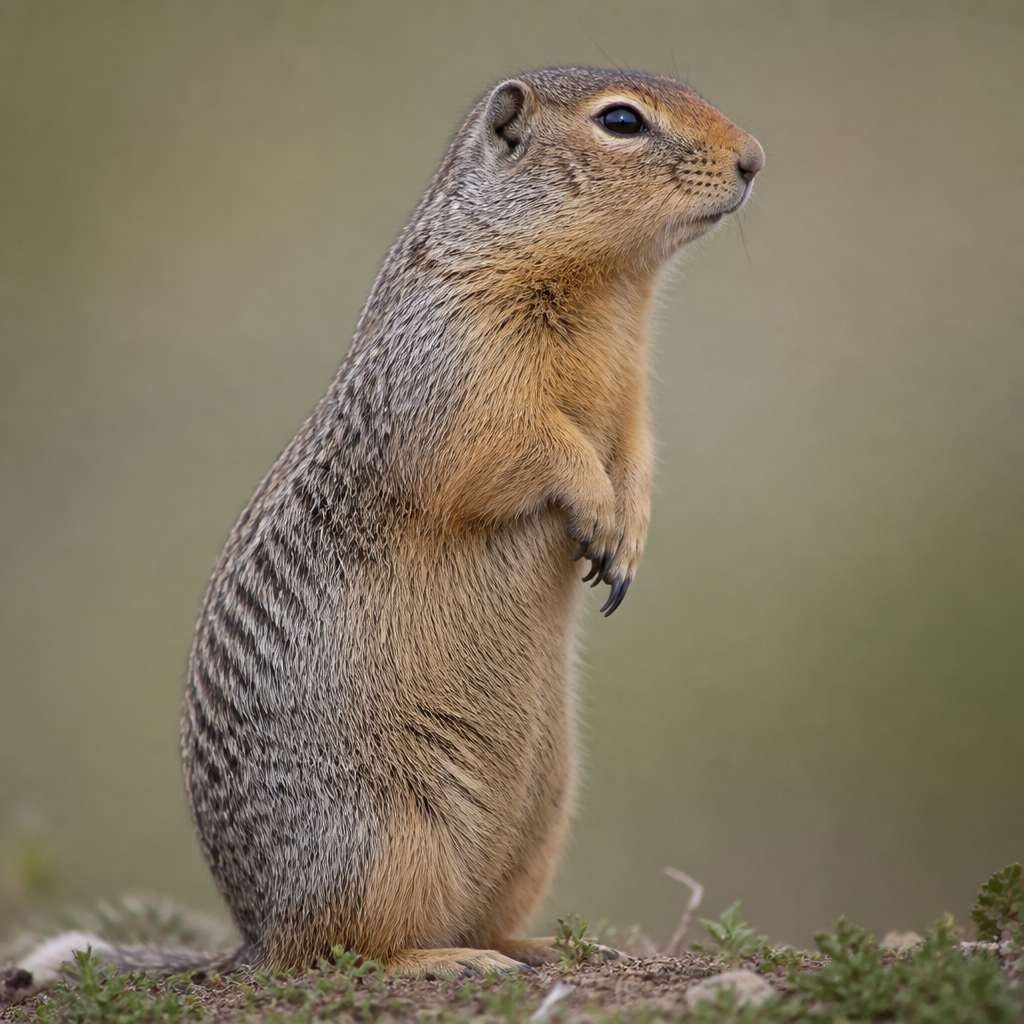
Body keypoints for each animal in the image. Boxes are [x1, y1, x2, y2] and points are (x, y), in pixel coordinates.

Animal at [14, 67, 763, 988]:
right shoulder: (458, 369)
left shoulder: (631, 399)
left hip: (543, 816)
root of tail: (249, 934)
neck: (609, 293)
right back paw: (449, 960)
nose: (754, 159)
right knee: (335, 950)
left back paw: (540, 945)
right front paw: (592, 504)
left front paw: (627, 539)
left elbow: (637, 454)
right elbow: (521, 447)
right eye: (621, 121)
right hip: (388, 834)